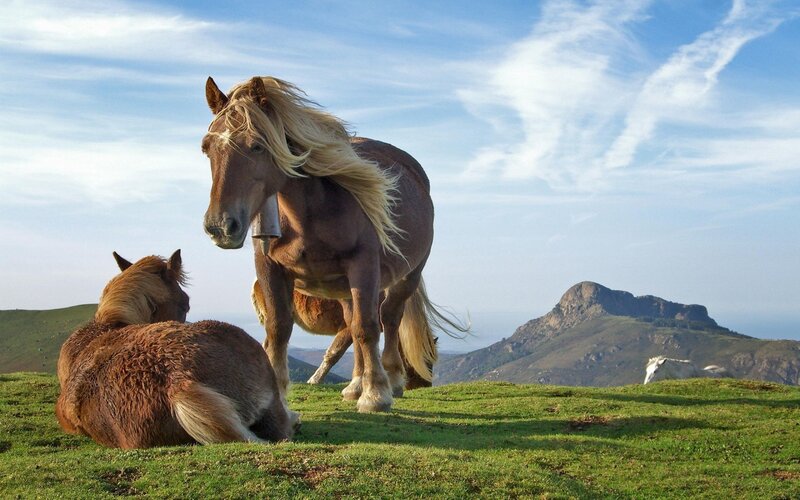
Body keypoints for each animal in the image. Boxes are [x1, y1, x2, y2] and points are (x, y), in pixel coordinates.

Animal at [202, 76, 466, 412]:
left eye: (257, 145)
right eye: (207, 148)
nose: (220, 226)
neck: (309, 213)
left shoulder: (364, 266)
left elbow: (367, 328)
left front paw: (376, 395)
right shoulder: (269, 267)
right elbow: (278, 330)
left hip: (407, 274)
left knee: (388, 318)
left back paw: (390, 379)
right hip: (343, 287)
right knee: (353, 322)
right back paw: (355, 384)